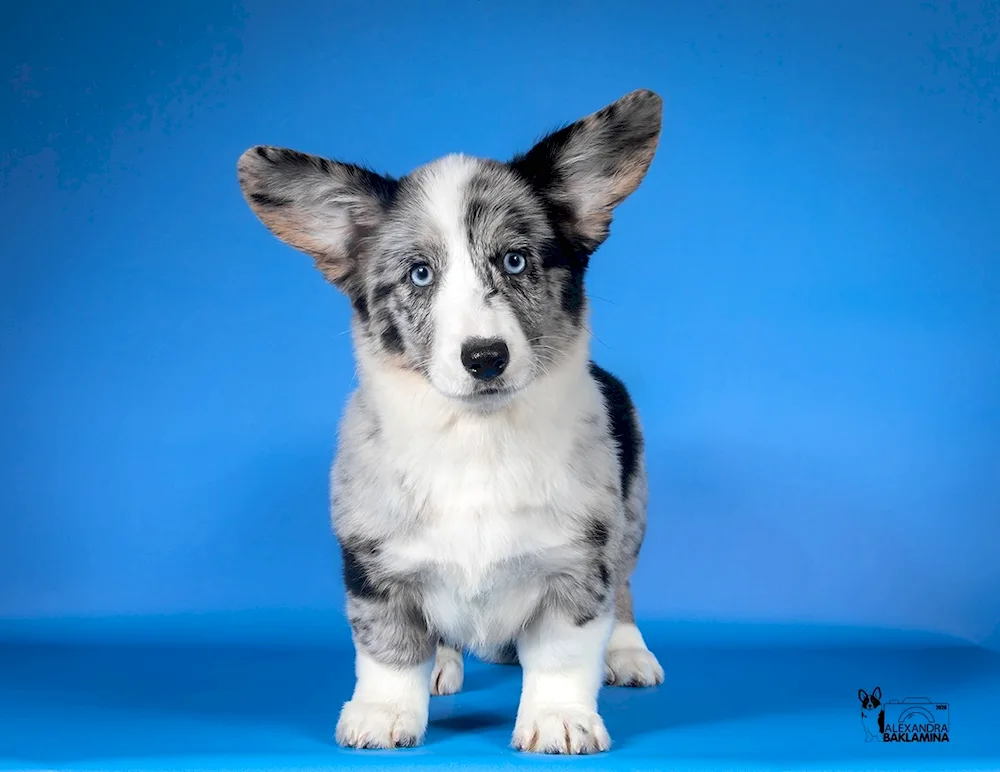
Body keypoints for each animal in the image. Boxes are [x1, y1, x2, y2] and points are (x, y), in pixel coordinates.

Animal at [236, 87, 664, 752]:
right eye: (420, 274)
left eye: (514, 261)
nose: (485, 357)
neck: (475, 439)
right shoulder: (374, 563)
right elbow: (387, 645)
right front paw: (384, 713)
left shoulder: (578, 560)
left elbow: (563, 651)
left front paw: (558, 718)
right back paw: (442, 661)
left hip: (634, 511)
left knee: (623, 587)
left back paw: (628, 651)